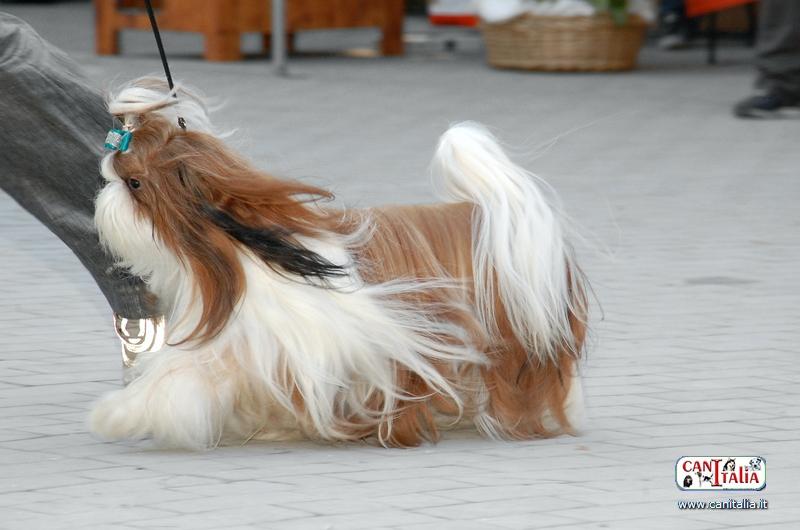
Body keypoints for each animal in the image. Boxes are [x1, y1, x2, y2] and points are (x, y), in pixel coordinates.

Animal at [90, 78, 588, 449]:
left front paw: (118, 413)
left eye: (135, 183)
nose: (104, 187)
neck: (240, 254)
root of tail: (489, 215)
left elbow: (174, 375)